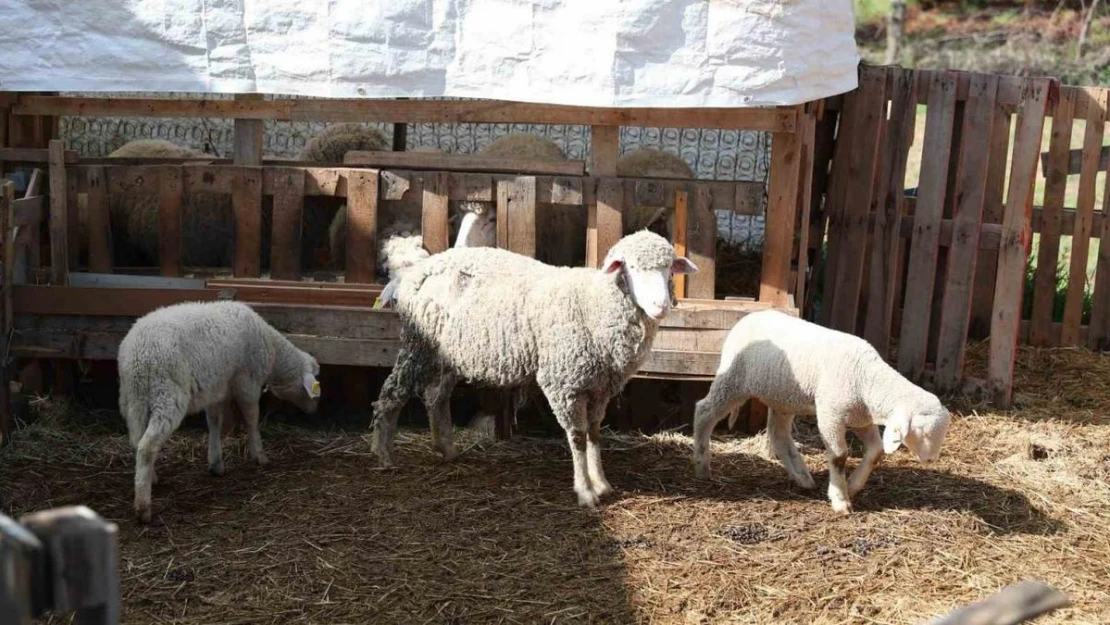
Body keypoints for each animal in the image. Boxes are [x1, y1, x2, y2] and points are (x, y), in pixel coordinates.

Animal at [119, 299, 324, 526]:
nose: (315, 409)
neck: (273, 352)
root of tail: (139, 353)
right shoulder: (247, 381)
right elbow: (252, 418)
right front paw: (259, 455)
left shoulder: (216, 388)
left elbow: (215, 421)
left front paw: (216, 463)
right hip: (166, 395)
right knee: (147, 446)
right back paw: (143, 508)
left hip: (134, 399)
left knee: (137, 440)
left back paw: (149, 478)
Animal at [375, 229, 701, 508]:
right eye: (631, 267)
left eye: (669, 268)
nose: (661, 306)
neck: (593, 303)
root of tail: (416, 269)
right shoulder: (564, 383)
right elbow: (578, 437)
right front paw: (585, 491)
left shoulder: (600, 388)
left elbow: (595, 434)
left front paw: (602, 483)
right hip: (419, 345)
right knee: (391, 394)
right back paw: (383, 454)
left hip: (448, 353)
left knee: (436, 398)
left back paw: (446, 450)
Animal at [688, 310, 950, 515]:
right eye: (922, 432)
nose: (932, 459)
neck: (867, 378)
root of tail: (748, 317)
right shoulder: (831, 414)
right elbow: (839, 456)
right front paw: (840, 499)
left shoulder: (859, 417)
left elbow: (876, 452)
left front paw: (853, 485)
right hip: (733, 379)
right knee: (704, 411)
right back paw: (702, 465)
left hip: (782, 395)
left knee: (779, 435)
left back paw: (802, 477)